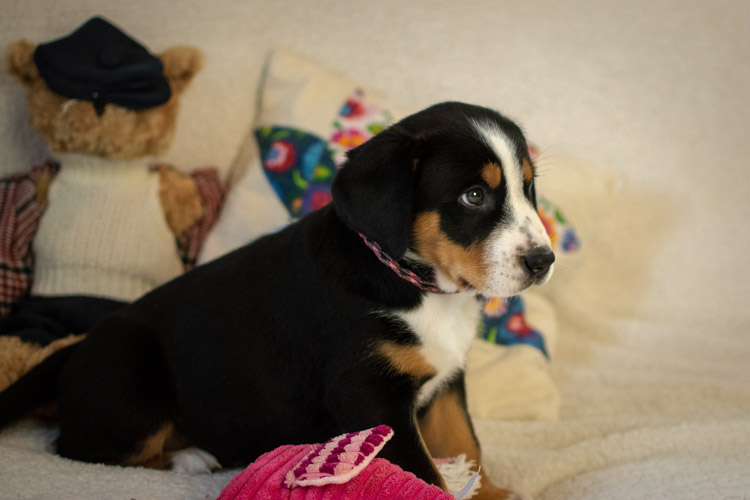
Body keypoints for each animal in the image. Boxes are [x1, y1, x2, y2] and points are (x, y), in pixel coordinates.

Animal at [0, 102, 553, 500]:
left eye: (528, 189)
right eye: (474, 196)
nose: (543, 260)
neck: (420, 288)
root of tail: (74, 348)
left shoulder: (447, 382)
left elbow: (468, 446)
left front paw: (497, 492)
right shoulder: (370, 394)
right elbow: (426, 472)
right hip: (133, 390)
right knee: (82, 448)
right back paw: (190, 456)